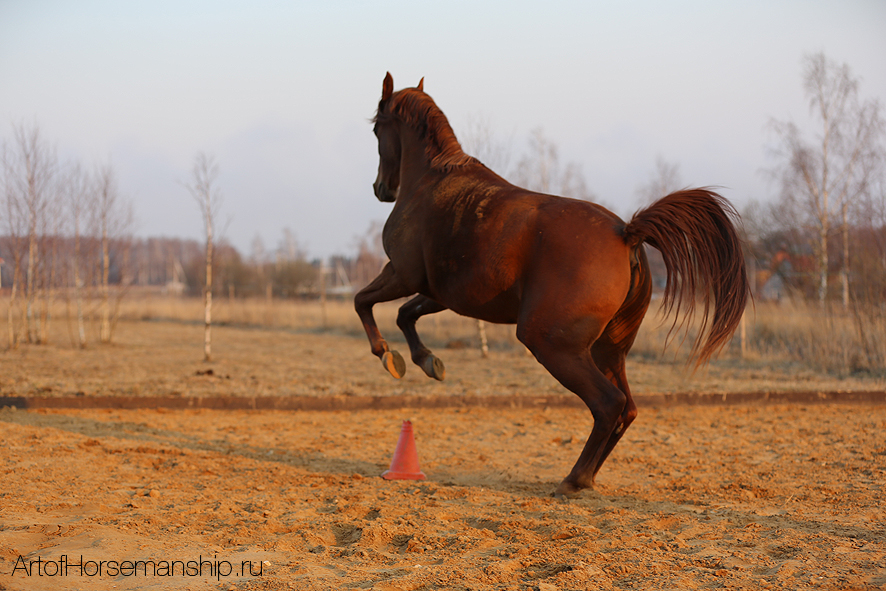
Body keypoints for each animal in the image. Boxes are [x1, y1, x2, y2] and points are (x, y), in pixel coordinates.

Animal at [354, 74, 748, 500]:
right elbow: (404, 313)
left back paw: (573, 480)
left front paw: (387, 355)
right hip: (607, 349)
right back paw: (587, 477)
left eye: (376, 129)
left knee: (608, 404)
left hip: (552, 343)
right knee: (627, 408)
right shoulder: (442, 294)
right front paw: (427, 362)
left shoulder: (402, 274)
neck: (432, 181)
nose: (381, 189)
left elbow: (364, 302)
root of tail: (626, 231)